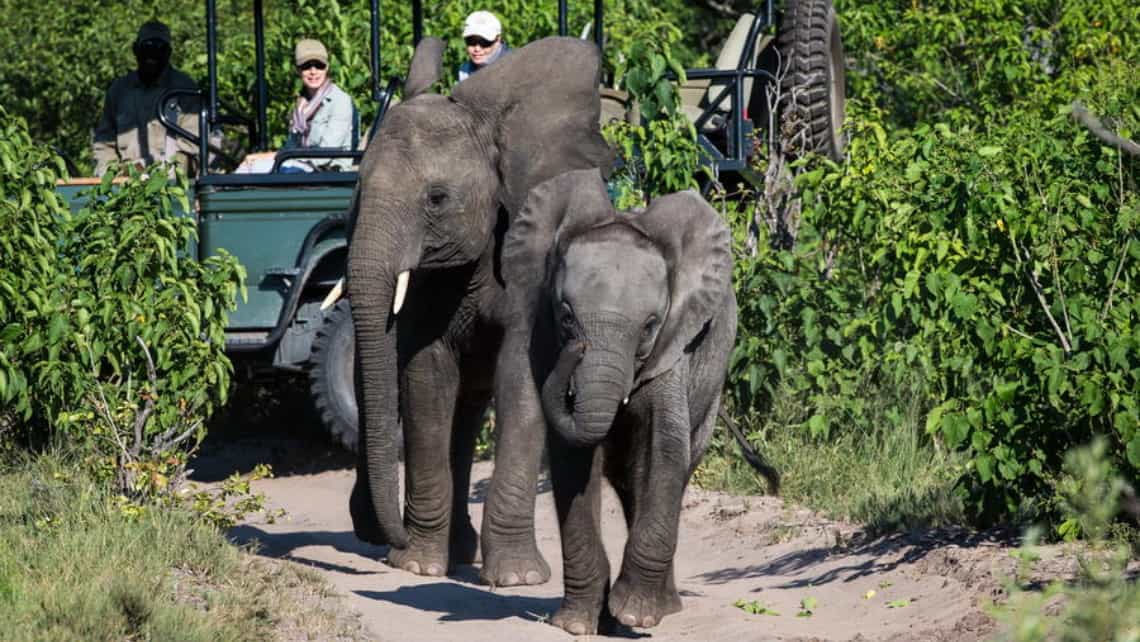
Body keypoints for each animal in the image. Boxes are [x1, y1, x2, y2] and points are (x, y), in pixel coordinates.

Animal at [346, 36, 615, 588]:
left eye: (436, 198)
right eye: (357, 192)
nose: (390, 542)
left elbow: (521, 380)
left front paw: (517, 579)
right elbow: (426, 380)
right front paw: (419, 565)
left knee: (469, 409)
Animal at [501, 168, 734, 634]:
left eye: (649, 327)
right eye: (565, 317)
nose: (576, 350)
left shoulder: (674, 348)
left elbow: (664, 448)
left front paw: (634, 613)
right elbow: (573, 462)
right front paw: (577, 624)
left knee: (668, 469)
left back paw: (665, 607)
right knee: (628, 480)